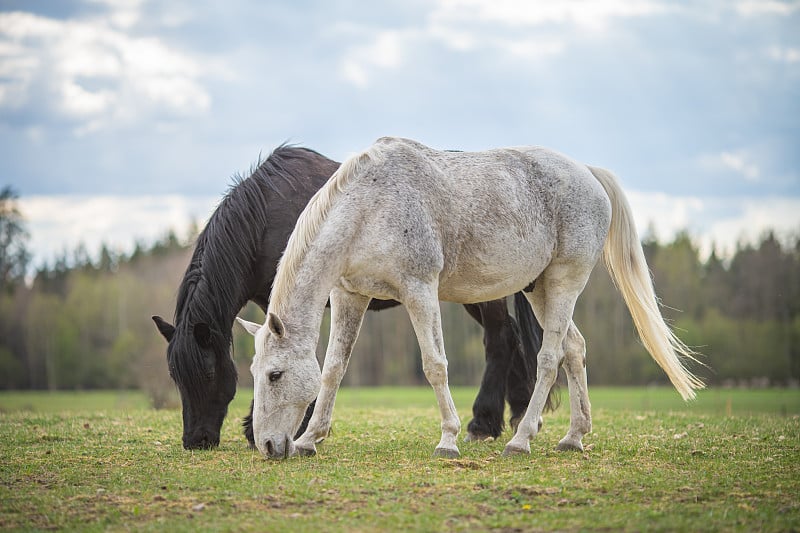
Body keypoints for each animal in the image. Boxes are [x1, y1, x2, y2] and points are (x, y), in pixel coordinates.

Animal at [152, 144, 556, 448]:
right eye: (174, 375)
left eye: (207, 373)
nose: (196, 440)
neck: (265, 220)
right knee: (512, 338)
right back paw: (518, 414)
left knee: (501, 339)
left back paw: (483, 422)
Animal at [234, 136, 704, 458]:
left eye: (274, 375)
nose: (268, 445)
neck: (370, 207)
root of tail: (587, 173)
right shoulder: (350, 296)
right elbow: (333, 370)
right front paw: (310, 440)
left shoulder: (419, 291)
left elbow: (435, 366)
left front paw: (448, 439)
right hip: (541, 289)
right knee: (574, 349)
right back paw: (574, 436)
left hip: (566, 281)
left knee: (550, 357)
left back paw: (520, 440)